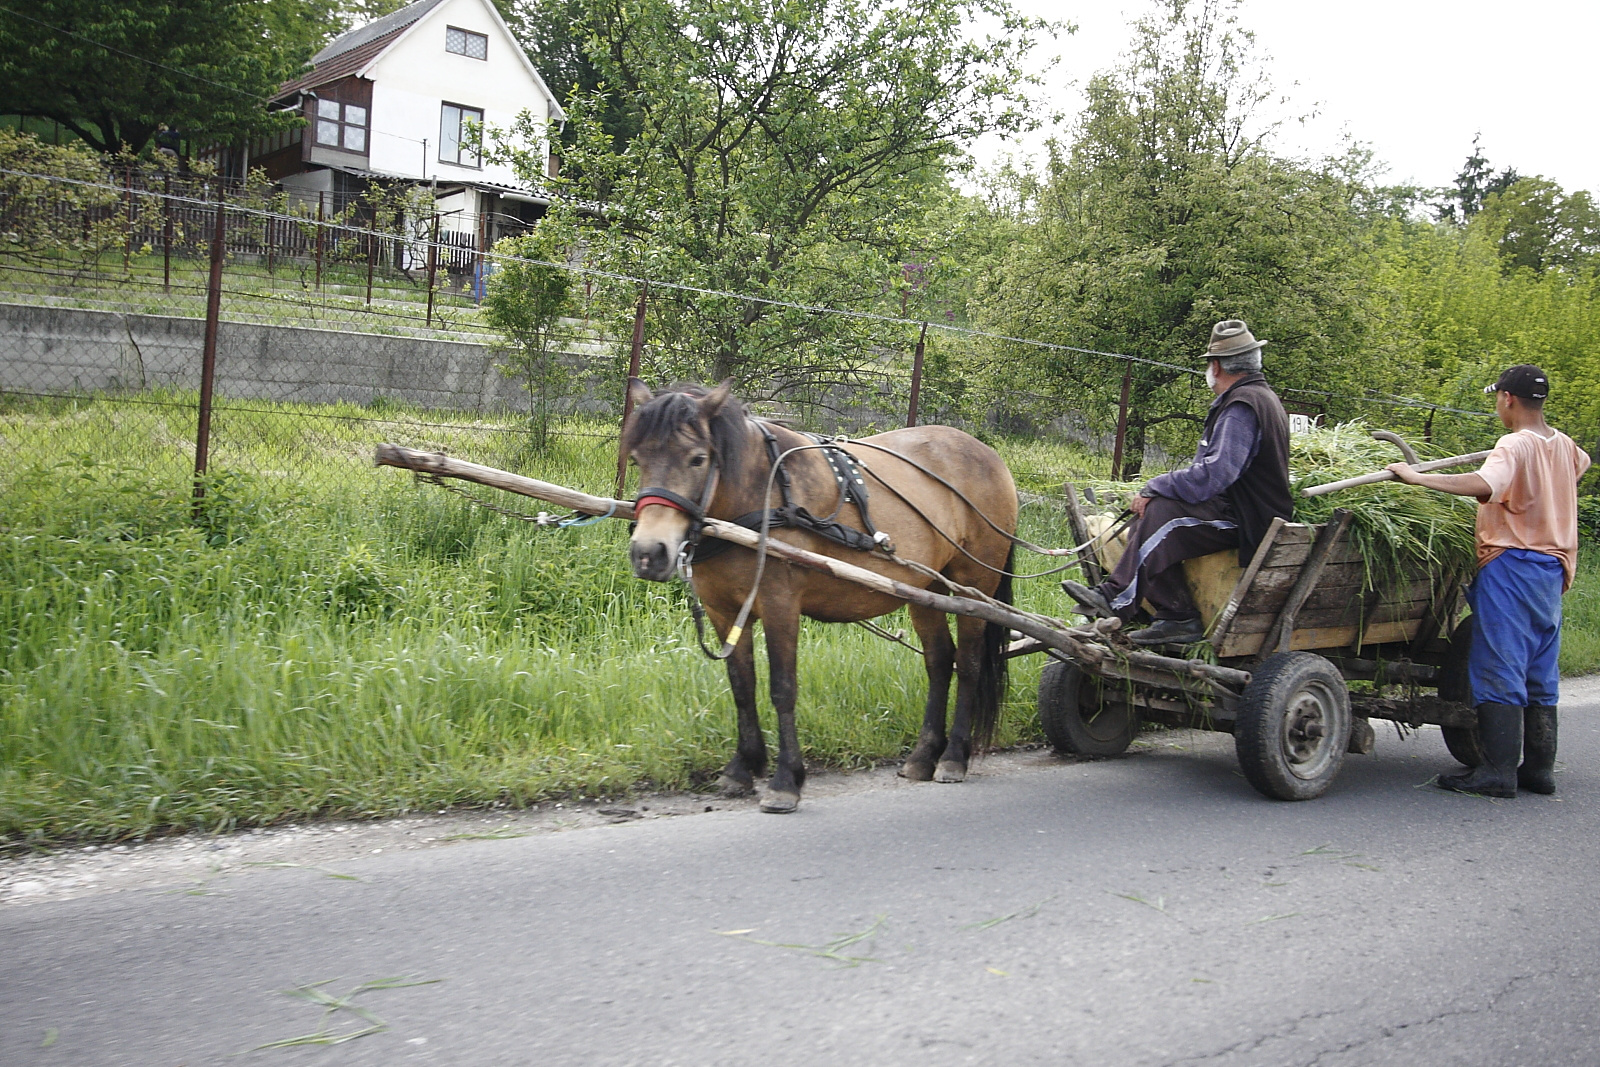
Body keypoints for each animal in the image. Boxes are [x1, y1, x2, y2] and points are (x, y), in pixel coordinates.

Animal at [617, 379, 1017, 812]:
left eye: (697, 458)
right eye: (636, 459)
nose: (648, 553)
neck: (760, 494)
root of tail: (987, 454)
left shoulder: (780, 604)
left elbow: (782, 688)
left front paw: (785, 781)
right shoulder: (723, 611)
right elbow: (742, 686)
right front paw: (742, 767)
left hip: (975, 586)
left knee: (970, 664)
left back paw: (954, 757)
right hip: (927, 590)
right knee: (940, 661)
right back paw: (924, 755)